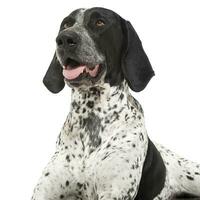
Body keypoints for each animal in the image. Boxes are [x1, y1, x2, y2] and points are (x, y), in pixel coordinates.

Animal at [30, 7, 200, 199]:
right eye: (66, 24)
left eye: (99, 22)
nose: (64, 39)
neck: (91, 118)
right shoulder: (44, 191)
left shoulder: (115, 191)